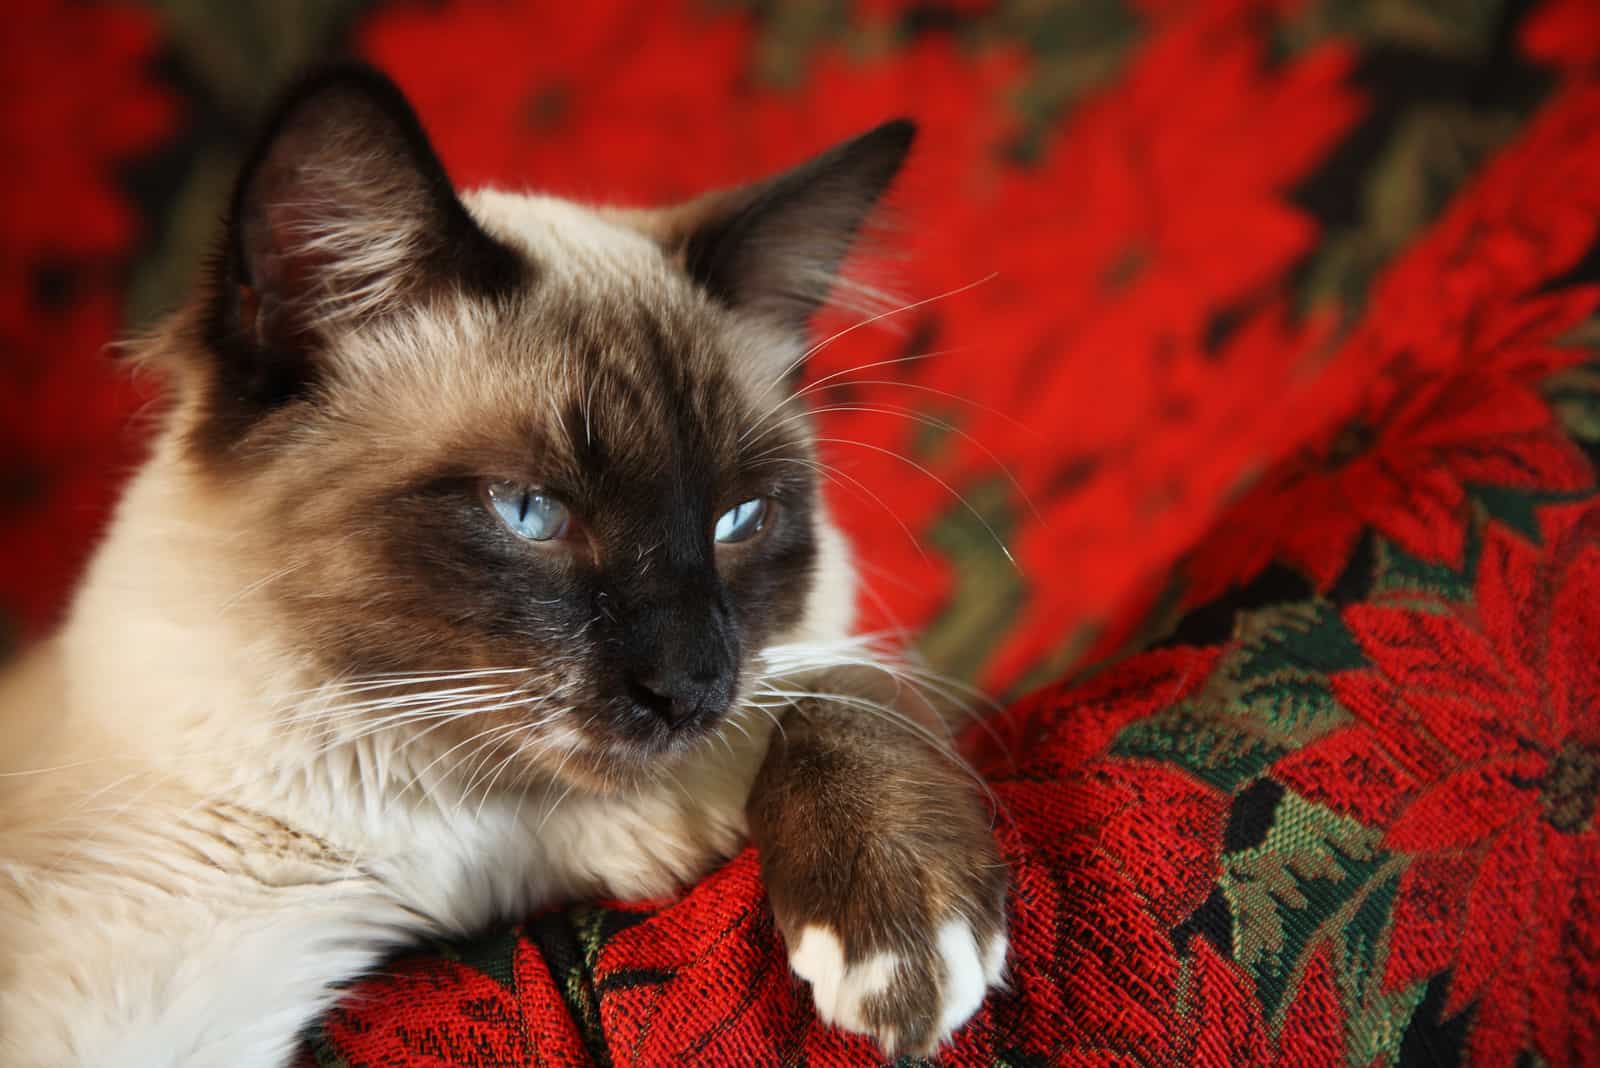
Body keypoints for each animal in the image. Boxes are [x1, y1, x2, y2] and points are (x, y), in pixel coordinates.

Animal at [0, 68, 998, 1068]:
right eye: (529, 512)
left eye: (738, 520)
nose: (691, 688)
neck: (451, 829)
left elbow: (845, 682)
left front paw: (910, 954)